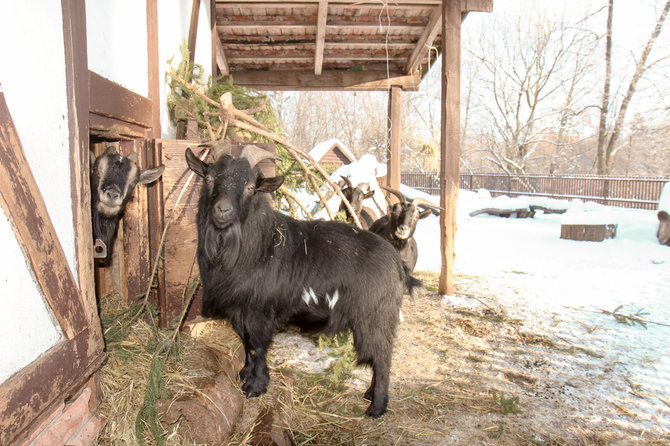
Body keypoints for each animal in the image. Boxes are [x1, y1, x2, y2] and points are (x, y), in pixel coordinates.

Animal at [184, 145, 420, 416]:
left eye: (251, 187)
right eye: (209, 178)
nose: (222, 210)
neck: (259, 245)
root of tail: (397, 263)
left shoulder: (259, 312)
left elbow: (257, 346)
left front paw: (255, 386)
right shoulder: (239, 310)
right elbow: (245, 344)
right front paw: (245, 375)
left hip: (375, 316)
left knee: (382, 356)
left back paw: (377, 407)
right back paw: (370, 395)